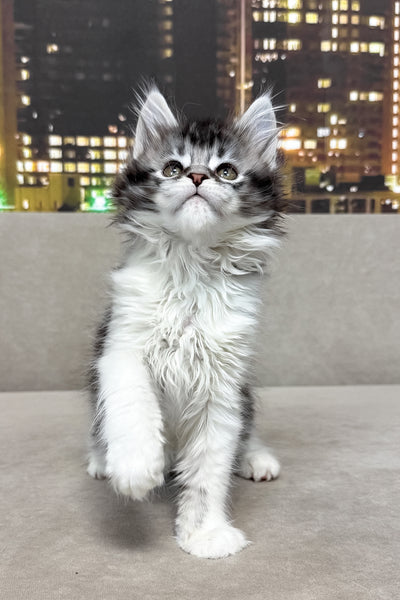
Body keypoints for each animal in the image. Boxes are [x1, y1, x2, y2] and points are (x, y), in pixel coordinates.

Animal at [87, 86, 286, 559]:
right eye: (172, 168)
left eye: (226, 171)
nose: (197, 177)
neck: (192, 265)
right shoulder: (119, 347)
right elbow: (132, 401)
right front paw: (135, 467)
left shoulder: (223, 385)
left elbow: (210, 468)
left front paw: (204, 534)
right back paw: (103, 458)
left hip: (245, 396)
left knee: (245, 431)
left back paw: (255, 458)